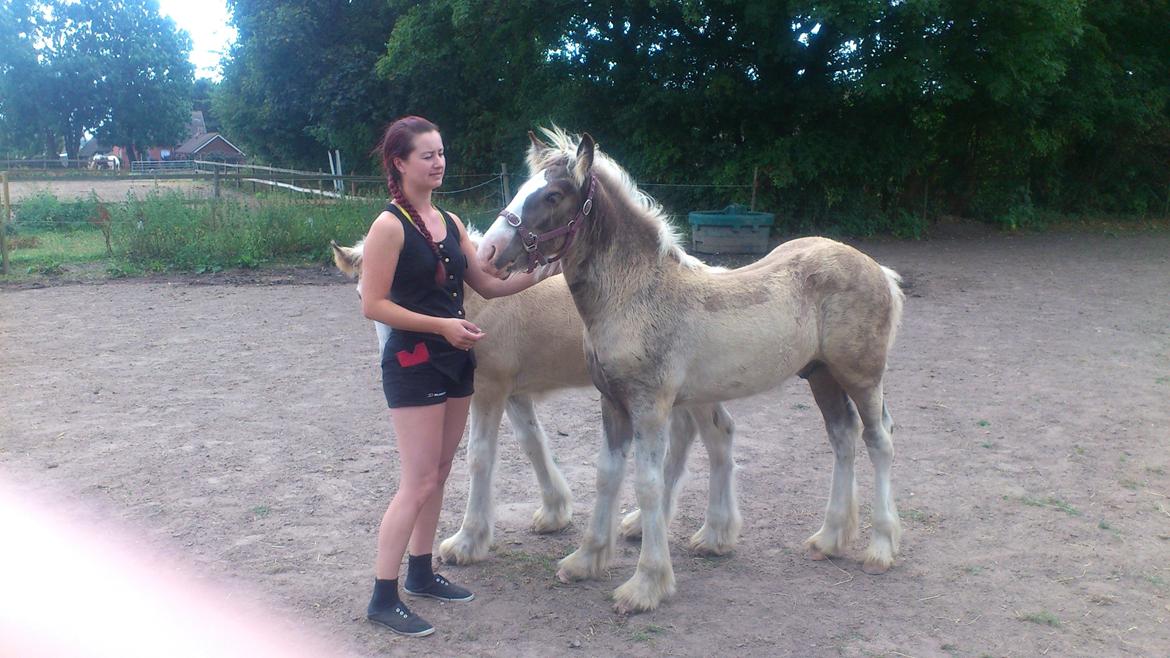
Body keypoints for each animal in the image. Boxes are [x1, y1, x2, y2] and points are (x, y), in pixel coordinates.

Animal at [334, 240, 744, 564]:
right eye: (362, 297)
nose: (398, 363)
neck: (480, 303)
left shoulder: (488, 389)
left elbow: (480, 457)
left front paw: (466, 543)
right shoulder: (514, 393)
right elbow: (532, 443)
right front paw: (553, 513)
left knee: (718, 436)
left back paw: (715, 536)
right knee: (685, 435)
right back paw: (643, 525)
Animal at [475, 127, 903, 608]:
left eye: (552, 195)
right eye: (522, 188)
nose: (489, 251)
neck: (636, 294)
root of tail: (878, 270)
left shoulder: (650, 406)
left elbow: (648, 484)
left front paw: (646, 584)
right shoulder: (612, 403)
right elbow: (607, 475)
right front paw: (585, 560)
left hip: (861, 376)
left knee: (878, 440)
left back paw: (880, 548)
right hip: (821, 374)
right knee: (842, 436)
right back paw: (828, 539)